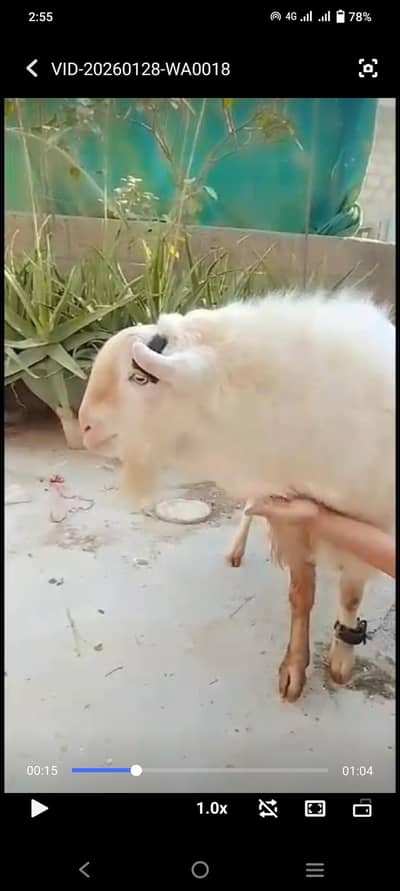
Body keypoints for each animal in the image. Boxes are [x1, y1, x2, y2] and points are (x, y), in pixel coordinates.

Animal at [79, 290, 395, 702]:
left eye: (140, 377)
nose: (83, 427)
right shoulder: (292, 516)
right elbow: (301, 595)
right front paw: (294, 669)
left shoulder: (364, 518)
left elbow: (350, 597)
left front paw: (340, 662)